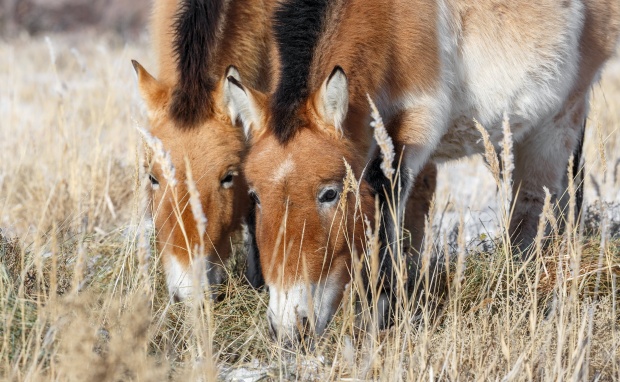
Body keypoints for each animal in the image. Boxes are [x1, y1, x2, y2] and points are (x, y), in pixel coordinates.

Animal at [224, 0, 620, 340]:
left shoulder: (411, 131)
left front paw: (374, 317)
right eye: (255, 196)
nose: (289, 327)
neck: (389, 19)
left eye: (330, 193)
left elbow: (385, 220)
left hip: (559, 119)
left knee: (536, 209)